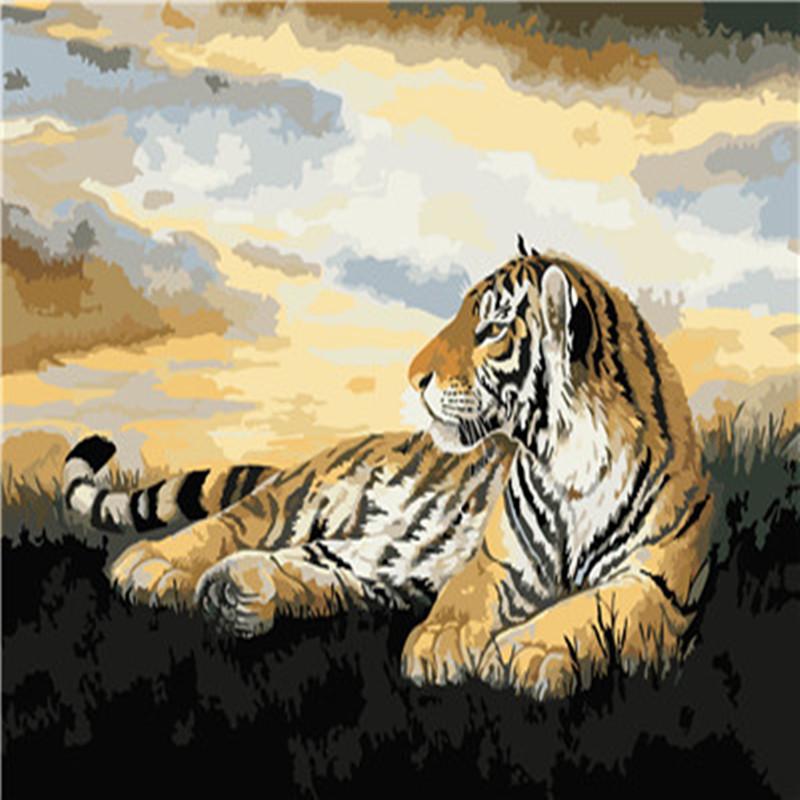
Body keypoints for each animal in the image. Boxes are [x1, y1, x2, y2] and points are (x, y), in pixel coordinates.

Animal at [62, 239, 713, 698]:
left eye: (491, 329)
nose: (414, 375)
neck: (568, 458)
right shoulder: (496, 561)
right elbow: (465, 597)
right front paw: (439, 642)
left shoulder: (657, 589)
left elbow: (588, 608)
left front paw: (520, 654)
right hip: (295, 500)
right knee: (226, 526)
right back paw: (151, 565)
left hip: (373, 558)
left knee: (304, 568)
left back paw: (235, 592)